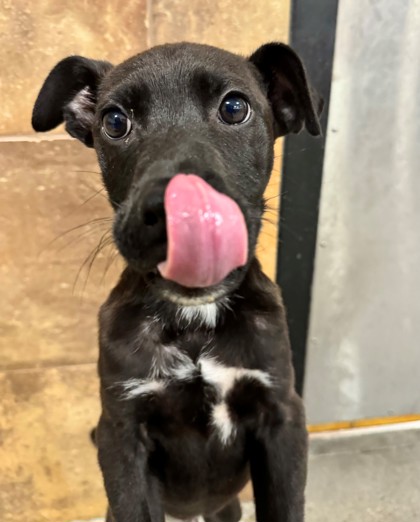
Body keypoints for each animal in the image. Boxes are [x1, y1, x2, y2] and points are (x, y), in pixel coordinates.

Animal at [32, 41, 322, 520]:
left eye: (235, 108)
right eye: (114, 122)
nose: (177, 213)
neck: (194, 322)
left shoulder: (282, 417)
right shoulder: (121, 434)